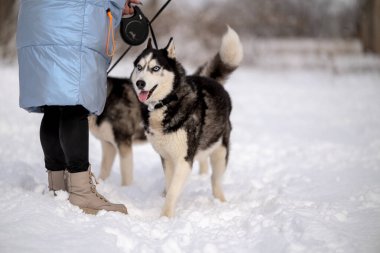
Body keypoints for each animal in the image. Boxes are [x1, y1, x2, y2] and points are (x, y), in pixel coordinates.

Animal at [131, 25, 243, 216]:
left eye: (155, 68)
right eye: (139, 67)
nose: (140, 83)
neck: (165, 103)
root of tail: (211, 80)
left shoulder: (184, 159)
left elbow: (173, 190)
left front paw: (165, 217)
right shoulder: (167, 158)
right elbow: (170, 186)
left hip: (220, 152)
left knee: (215, 180)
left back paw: (220, 201)